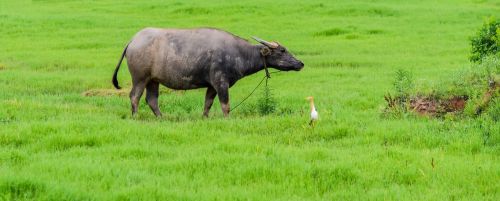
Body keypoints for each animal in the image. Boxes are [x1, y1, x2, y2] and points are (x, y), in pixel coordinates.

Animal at [111, 27, 302, 117]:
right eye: (282, 50)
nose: (300, 63)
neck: (238, 53)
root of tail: (133, 40)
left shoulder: (212, 85)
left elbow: (208, 103)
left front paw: (204, 117)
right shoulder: (221, 83)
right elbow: (225, 105)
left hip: (153, 80)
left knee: (151, 100)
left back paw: (161, 117)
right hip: (140, 78)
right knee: (134, 97)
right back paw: (136, 116)